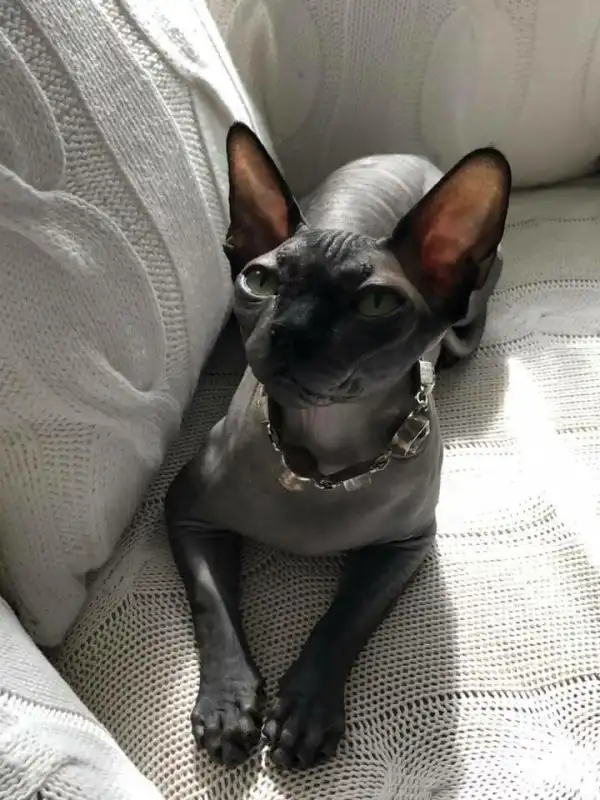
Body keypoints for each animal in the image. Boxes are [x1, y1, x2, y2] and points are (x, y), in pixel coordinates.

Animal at [165, 123, 511, 770]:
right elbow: (212, 607)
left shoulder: (405, 545)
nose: (288, 331)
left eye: (376, 303)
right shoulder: (185, 511)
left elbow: (346, 618)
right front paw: (226, 705)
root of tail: (409, 153)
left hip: (467, 326)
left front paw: (304, 710)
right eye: (261, 280)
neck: (320, 464)